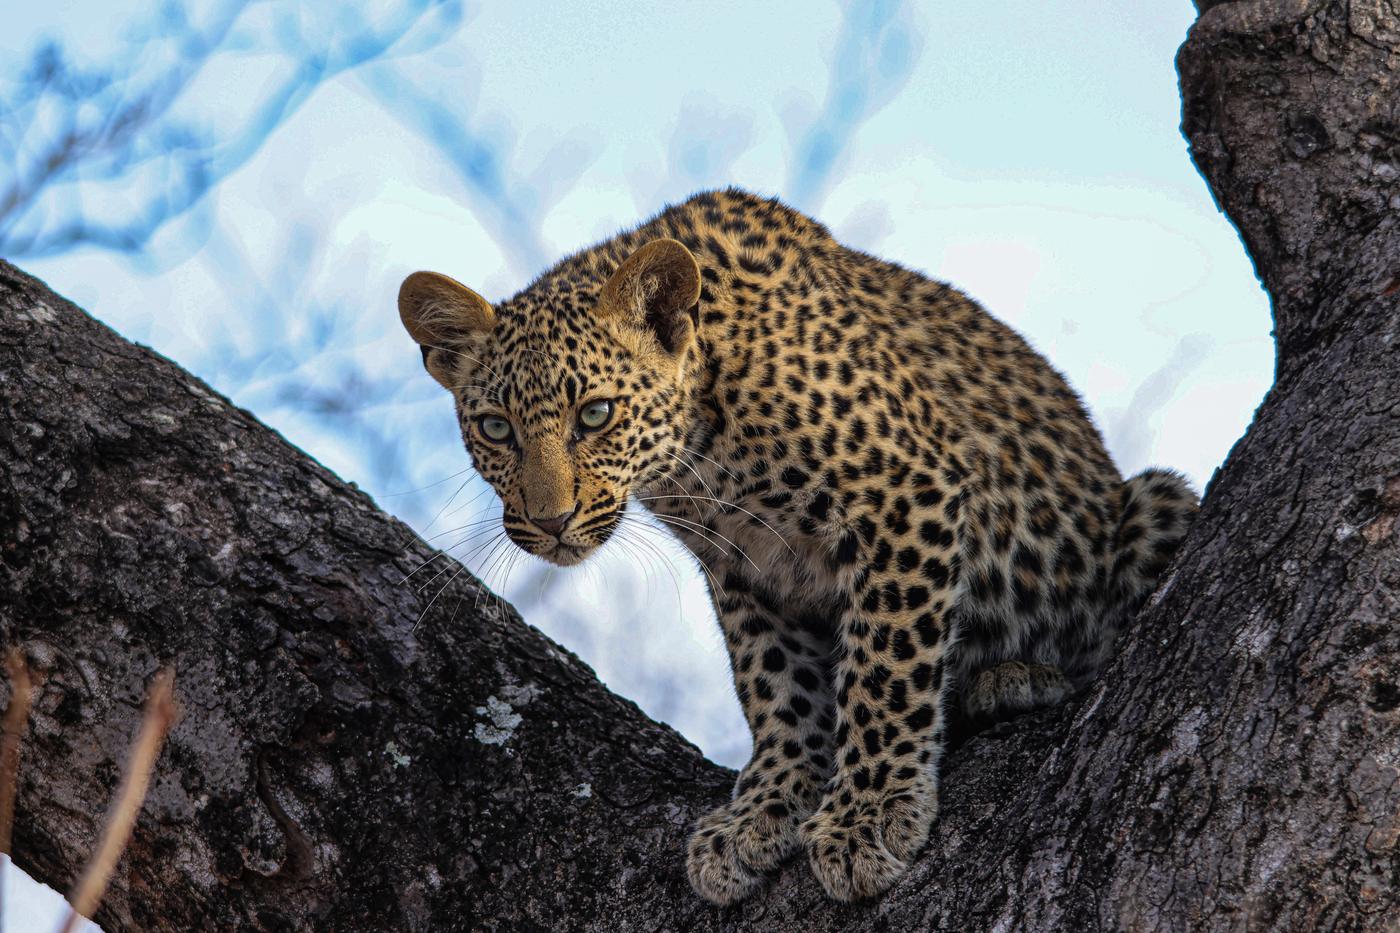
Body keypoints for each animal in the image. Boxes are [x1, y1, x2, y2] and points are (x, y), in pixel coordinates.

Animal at [395, 187, 1197, 904]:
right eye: (496, 428)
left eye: (595, 414)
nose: (552, 520)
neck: (702, 453)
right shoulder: (748, 563)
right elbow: (774, 680)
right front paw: (767, 804)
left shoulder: (904, 492)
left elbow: (884, 665)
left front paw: (866, 816)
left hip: (1156, 502)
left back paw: (1015, 677)